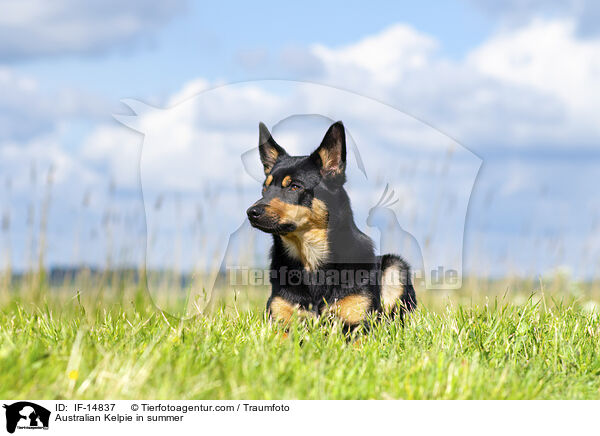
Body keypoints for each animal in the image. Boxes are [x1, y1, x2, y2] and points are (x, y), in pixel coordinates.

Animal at [246, 120, 414, 328]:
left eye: (294, 187)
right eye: (265, 189)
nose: (251, 213)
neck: (311, 257)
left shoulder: (359, 325)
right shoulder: (278, 322)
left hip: (395, 266)